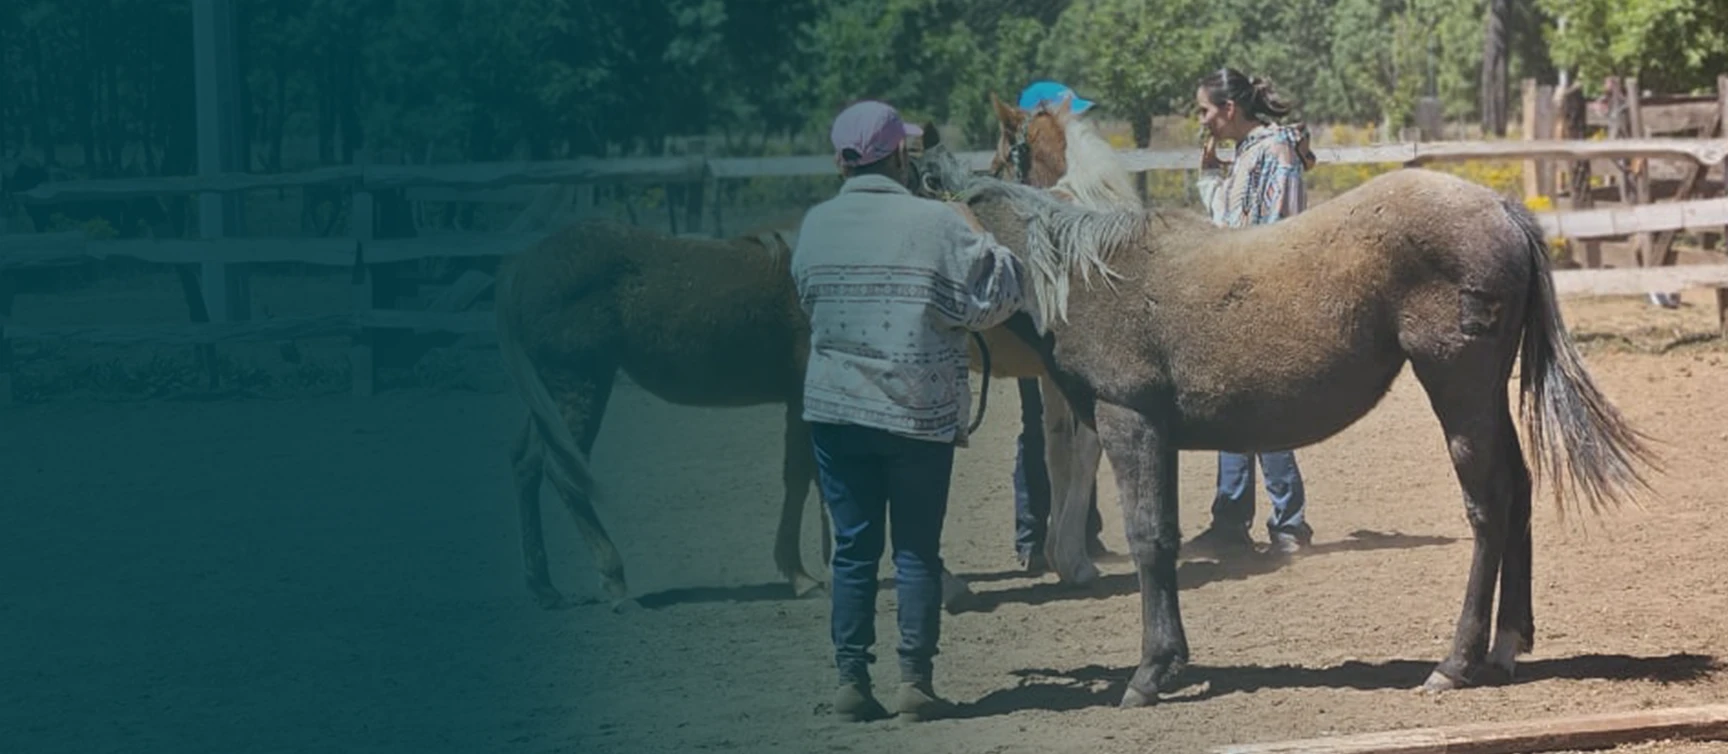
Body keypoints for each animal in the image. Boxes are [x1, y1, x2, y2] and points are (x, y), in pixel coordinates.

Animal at [912, 107, 1651, 705]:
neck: (1087, 273)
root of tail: (1501, 209)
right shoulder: (1158, 436)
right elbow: (1168, 539)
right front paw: (1174, 662)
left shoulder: (1130, 423)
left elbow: (1147, 540)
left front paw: (1148, 673)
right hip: (1486, 394)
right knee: (1520, 489)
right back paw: (1505, 646)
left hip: (1458, 389)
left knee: (1489, 505)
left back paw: (1455, 662)